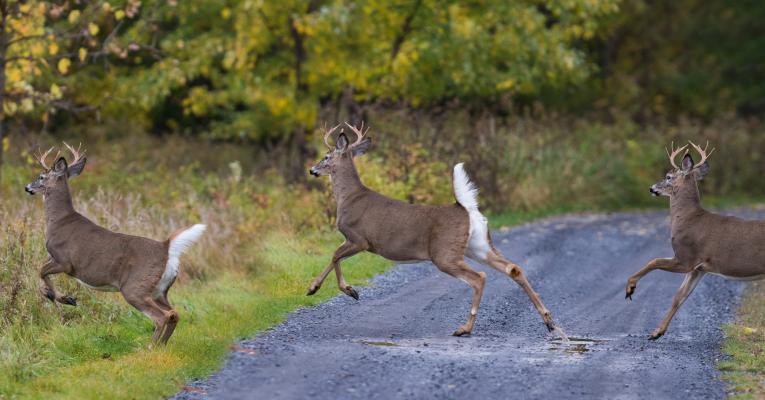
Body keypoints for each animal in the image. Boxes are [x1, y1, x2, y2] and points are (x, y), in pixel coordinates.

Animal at [24, 143, 206, 345]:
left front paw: (64, 298)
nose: (27, 187)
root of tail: (166, 247)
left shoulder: (65, 261)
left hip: (135, 286)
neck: (59, 220)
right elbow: (41, 275)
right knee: (174, 313)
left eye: (41, 177)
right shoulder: (55, 258)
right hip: (160, 289)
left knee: (161, 316)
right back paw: (161, 345)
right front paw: (65, 298)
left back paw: (150, 347)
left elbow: (40, 272)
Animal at [307, 122, 565, 338]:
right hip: (478, 245)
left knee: (479, 277)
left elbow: (335, 256)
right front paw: (319, 288)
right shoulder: (354, 241)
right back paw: (550, 323)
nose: (312, 170)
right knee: (514, 269)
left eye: (326, 156)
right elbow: (335, 257)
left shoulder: (359, 238)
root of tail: (466, 209)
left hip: (444, 253)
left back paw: (464, 328)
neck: (348, 198)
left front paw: (343, 290)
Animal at [625, 141, 765, 340]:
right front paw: (657, 332)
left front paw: (630, 288)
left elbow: (654, 261)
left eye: (668, 177)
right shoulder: (699, 268)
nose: (652, 188)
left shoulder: (687, 258)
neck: (689, 218)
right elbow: (678, 297)